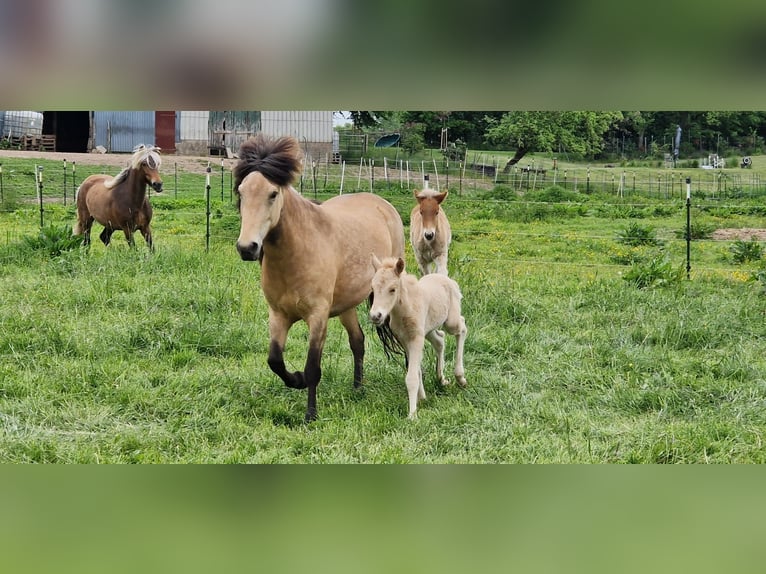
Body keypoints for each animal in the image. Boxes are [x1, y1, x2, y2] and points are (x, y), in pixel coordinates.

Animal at [236, 135, 408, 424]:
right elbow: (275, 360)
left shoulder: (317, 317)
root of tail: (382, 204)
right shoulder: (278, 315)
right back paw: (358, 388)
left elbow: (313, 366)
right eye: (241, 192)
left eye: (273, 194)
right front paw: (296, 379)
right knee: (358, 342)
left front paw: (310, 414)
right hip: (347, 306)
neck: (297, 253)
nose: (247, 248)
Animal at [370, 255, 468, 418]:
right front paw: (421, 398)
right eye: (372, 288)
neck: (405, 309)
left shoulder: (416, 338)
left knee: (462, 326)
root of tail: (447, 279)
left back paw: (460, 377)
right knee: (440, 339)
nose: (375, 316)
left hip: (450, 322)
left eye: (392, 289)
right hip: (428, 330)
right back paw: (441, 379)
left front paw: (412, 414)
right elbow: (416, 369)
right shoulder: (404, 340)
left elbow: (411, 376)